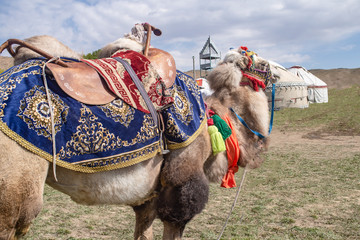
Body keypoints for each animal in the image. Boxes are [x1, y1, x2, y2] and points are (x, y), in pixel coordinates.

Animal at [0, 25, 274, 239]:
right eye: (259, 61)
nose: (273, 71)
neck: (211, 119)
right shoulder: (181, 182)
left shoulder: (149, 197)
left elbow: (143, 229)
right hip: (14, 196)